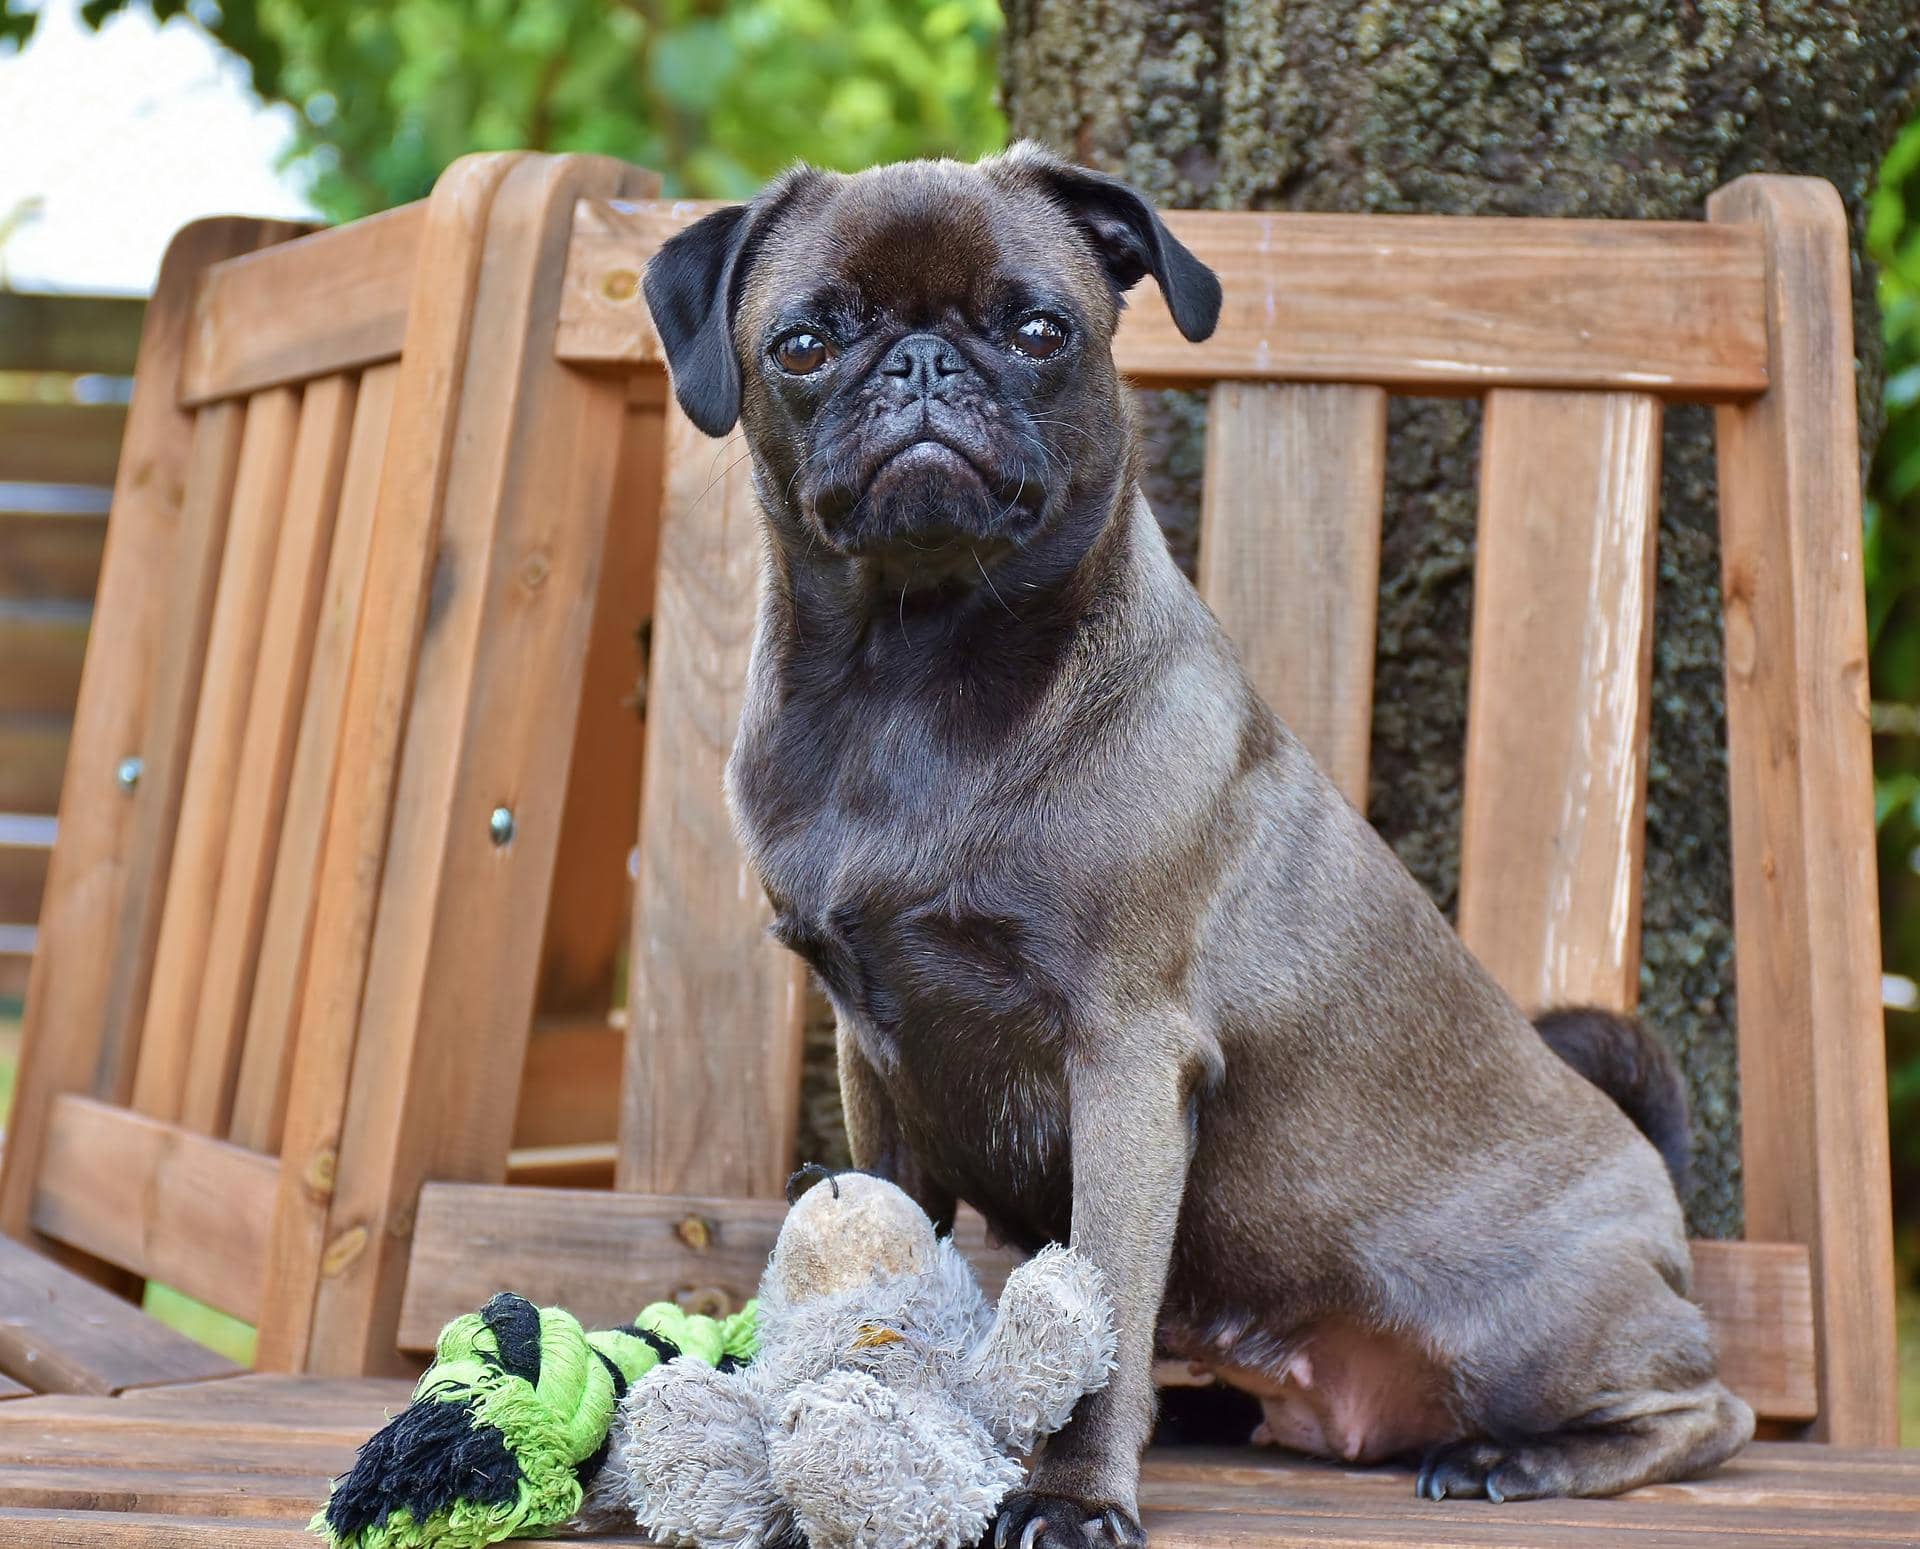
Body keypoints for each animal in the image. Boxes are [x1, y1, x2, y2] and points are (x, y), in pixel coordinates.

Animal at [645, 142, 1758, 1535]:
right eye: (803, 344)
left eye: (1039, 330)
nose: (921, 364)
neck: (911, 669)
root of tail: (1653, 1180)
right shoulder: (875, 1058)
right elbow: (897, 1224)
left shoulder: (1124, 1058)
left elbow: (1104, 1300)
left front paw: (1073, 1493)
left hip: (1527, 1331)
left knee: (1708, 1412)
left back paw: (1521, 1458)